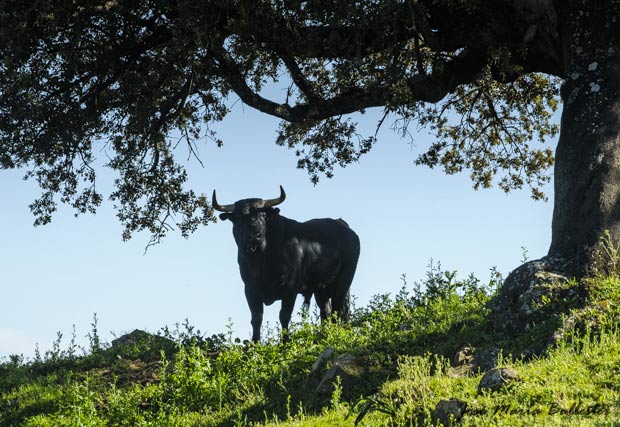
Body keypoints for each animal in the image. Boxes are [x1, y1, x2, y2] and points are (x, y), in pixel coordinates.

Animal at [213, 186, 360, 342]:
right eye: (239, 217)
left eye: (263, 215)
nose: (254, 236)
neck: (260, 262)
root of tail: (343, 225)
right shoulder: (250, 289)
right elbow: (256, 318)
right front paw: (255, 343)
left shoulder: (290, 288)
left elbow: (284, 316)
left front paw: (284, 341)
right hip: (321, 288)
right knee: (326, 311)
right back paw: (325, 336)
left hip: (343, 282)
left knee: (338, 310)